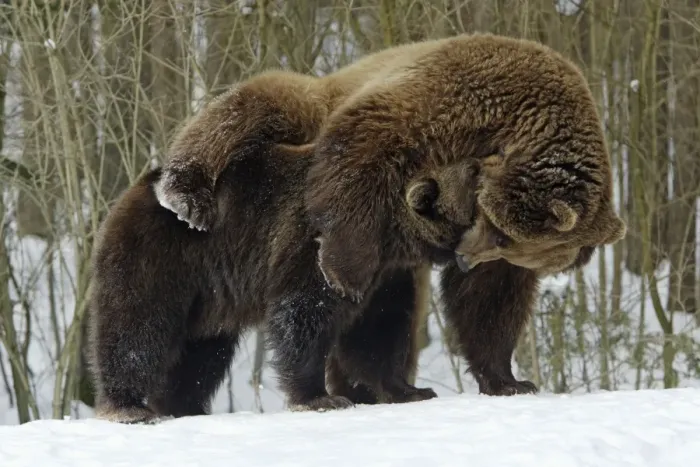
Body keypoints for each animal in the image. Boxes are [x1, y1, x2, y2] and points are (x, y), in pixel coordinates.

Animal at [87, 141, 480, 424]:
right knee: (137, 327)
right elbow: (303, 311)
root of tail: (130, 193)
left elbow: (378, 329)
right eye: (472, 175)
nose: (477, 165)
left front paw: (410, 389)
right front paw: (320, 397)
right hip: (161, 259)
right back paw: (128, 407)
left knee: (202, 352)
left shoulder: (383, 276)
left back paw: (184, 405)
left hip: (208, 298)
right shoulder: (318, 246)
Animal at [151, 32, 626, 397]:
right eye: (502, 236)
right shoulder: (456, 97)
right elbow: (367, 147)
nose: (464, 258)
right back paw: (186, 193)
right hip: (312, 104)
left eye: (508, 247)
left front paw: (508, 379)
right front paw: (342, 271)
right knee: (256, 105)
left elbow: (488, 301)